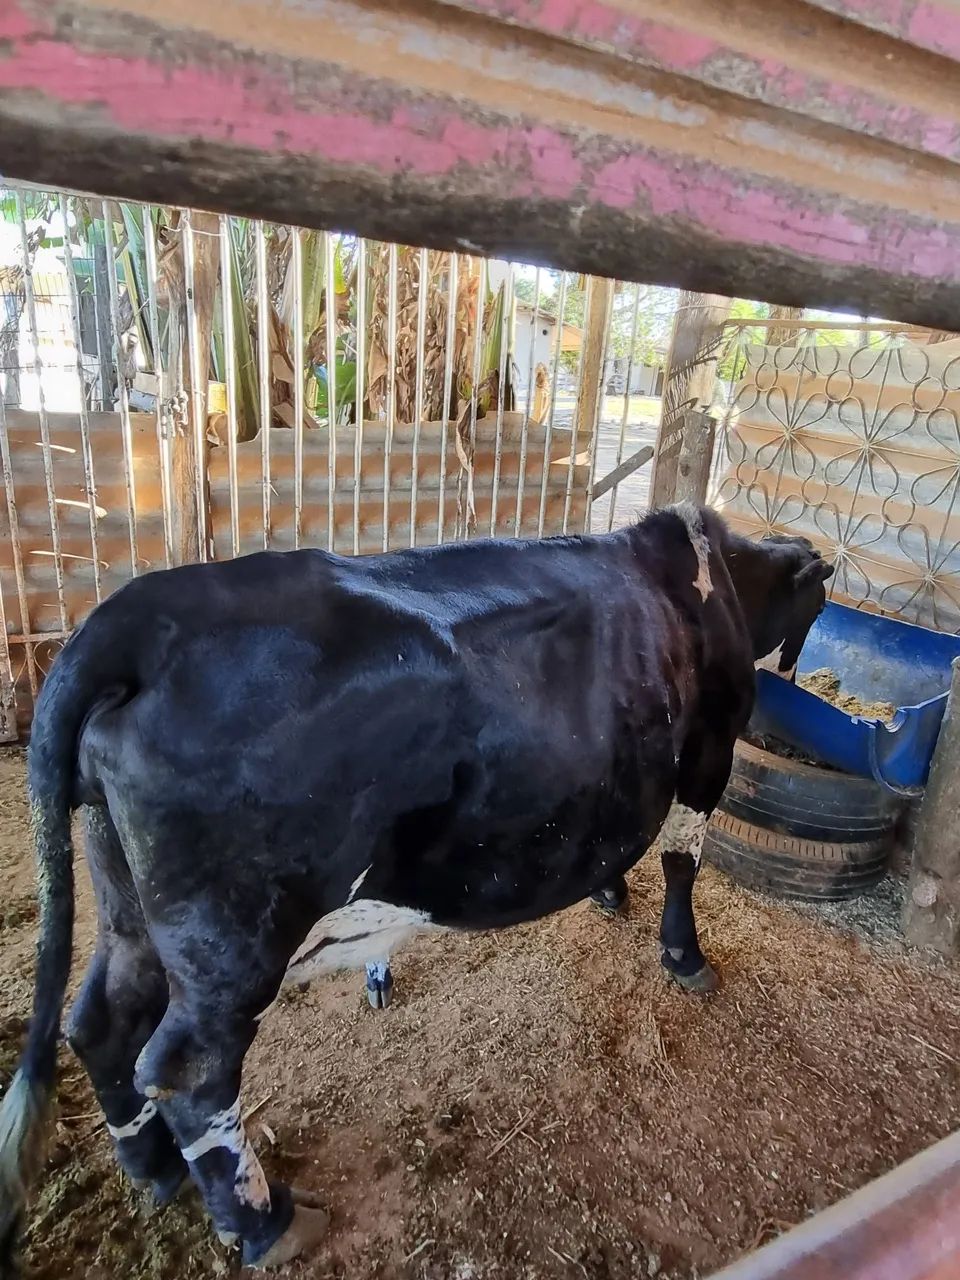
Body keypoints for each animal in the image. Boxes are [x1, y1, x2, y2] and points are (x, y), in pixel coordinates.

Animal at [0, 503, 833, 1273]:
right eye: (818, 602)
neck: (714, 577)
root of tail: (133, 617)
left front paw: (609, 892)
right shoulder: (710, 750)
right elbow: (683, 861)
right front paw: (685, 956)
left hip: (129, 905)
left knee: (101, 1021)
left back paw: (153, 1169)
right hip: (231, 939)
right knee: (188, 1072)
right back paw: (268, 1222)